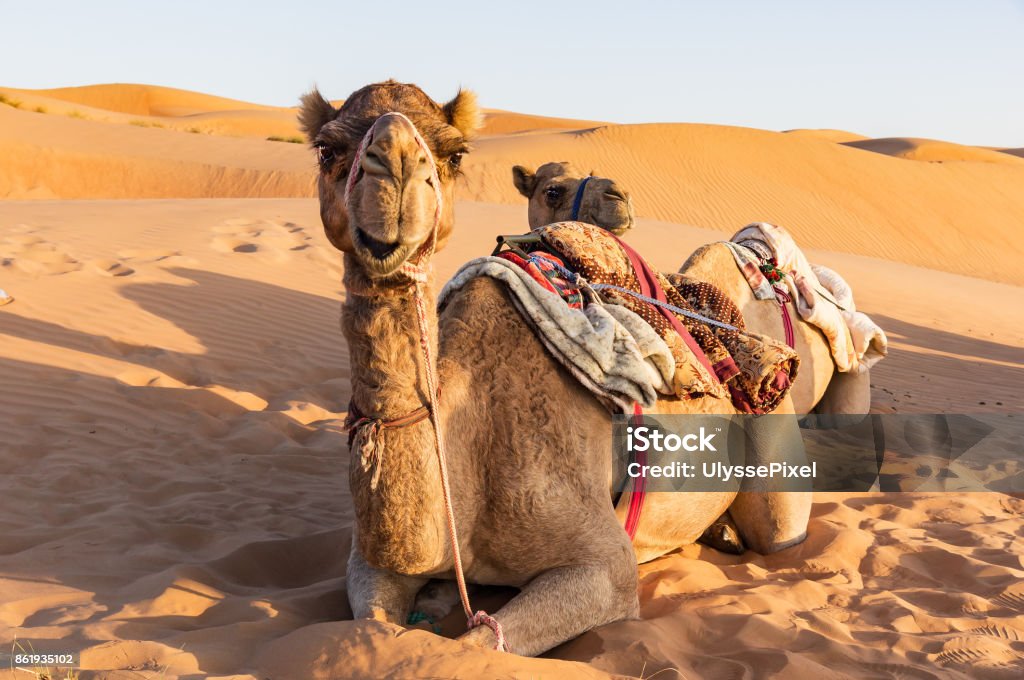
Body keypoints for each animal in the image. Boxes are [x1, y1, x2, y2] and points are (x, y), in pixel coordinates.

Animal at [301, 80, 839, 659]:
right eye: (326, 149)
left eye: (454, 153)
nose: (395, 166)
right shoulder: (370, 562)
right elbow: (376, 625)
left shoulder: (605, 566)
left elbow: (470, 644)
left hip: (775, 436)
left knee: (778, 529)